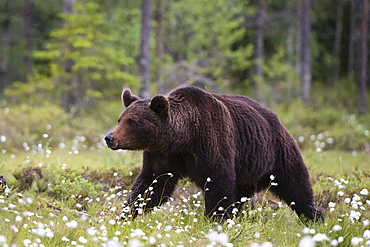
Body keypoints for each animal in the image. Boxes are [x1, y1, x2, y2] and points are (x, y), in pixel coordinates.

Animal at [105, 86, 324, 221]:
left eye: (132, 122)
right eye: (120, 119)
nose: (109, 138)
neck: (184, 139)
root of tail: (277, 119)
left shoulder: (211, 144)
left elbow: (218, 183)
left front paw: (214, 219)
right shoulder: (163, 155)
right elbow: (152, 184)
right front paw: (126, 215)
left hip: (277, 154)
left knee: (296, 187)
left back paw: (315, 218)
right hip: (247, 171)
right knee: (241, 195)